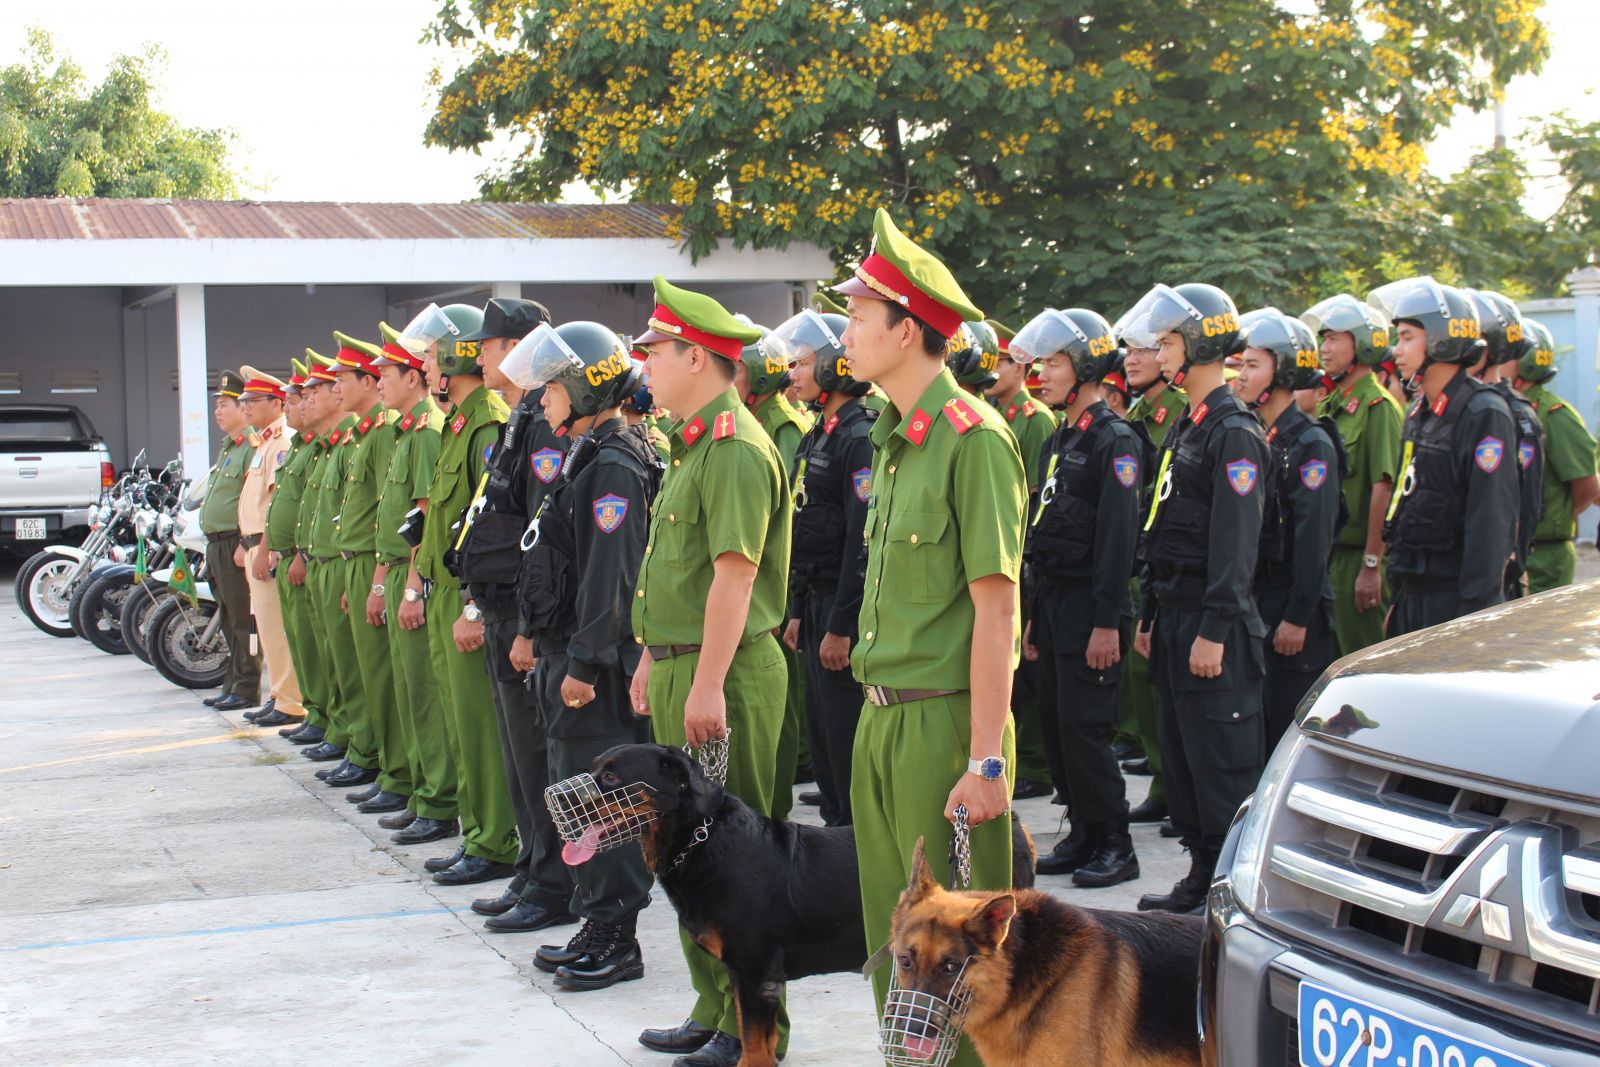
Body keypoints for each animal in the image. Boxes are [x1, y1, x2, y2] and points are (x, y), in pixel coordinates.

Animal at [566, 742, 1036, 1067]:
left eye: (612, 779)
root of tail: (1016, 823)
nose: (565, 804)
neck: (699, 839)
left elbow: (755, 1046)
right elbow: (755, 1038)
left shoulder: (756, 971)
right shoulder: (746, 975)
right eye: (594, 769)